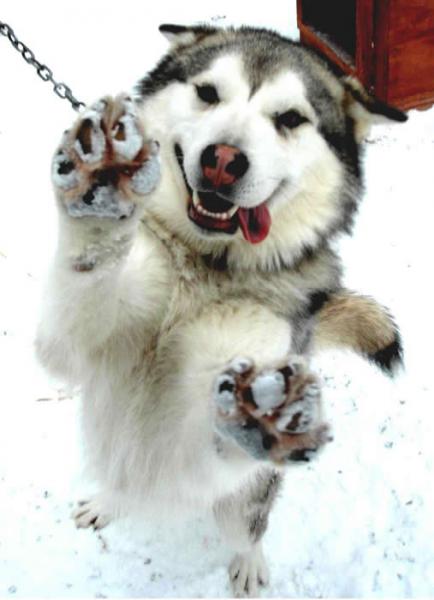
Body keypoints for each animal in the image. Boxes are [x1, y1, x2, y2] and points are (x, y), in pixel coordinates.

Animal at [36, 24, 406, 596]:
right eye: (208, 93)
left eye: (290, 118)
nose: (224, 158)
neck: (205, 269)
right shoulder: (79, 343)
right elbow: (82, 289)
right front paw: (100, 187)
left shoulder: (202, 423)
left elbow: (218, 431)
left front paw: (263, 406)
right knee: (123, 476)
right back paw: (108, 500)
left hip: (246, 499)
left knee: (246, 528)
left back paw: (248, 561)